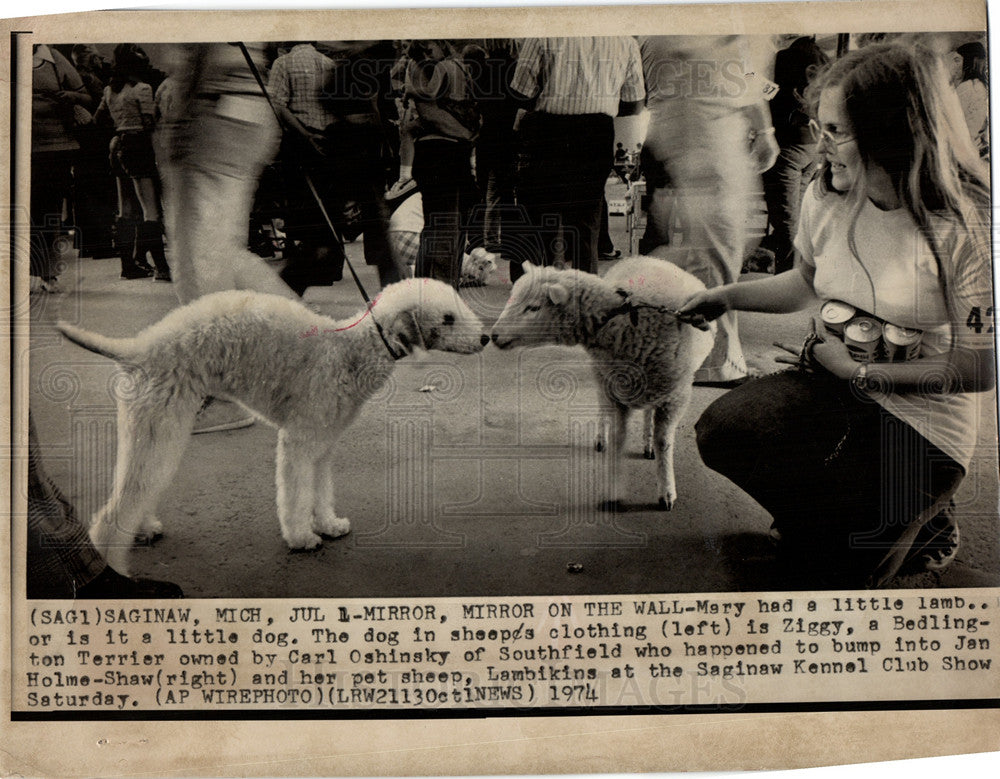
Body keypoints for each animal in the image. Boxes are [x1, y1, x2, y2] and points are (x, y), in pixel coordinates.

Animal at [57, 280, 488, 572]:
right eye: (448, 318)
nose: (485, 337)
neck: (352, 353)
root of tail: (140, 347)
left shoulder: (323, 445)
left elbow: (320, 491)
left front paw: (328, 524)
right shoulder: (299, 441)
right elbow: (296, 495)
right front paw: (301, 537)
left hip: (153, 429)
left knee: (136, 487)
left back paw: (144, 528)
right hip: (159, 424)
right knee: (117, 509)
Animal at [490, 256, 712, 512]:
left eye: (533, 308)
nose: (493, 335)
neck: (621, 318)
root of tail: (649, 258)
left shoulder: (675, 396)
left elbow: (664, 441)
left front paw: (666, 491)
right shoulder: (615, 390)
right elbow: (618, 438)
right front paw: (614, 491)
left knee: (648, 415)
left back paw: (647, 443)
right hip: (602, 374)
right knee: (602, 407)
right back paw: (601, 438)